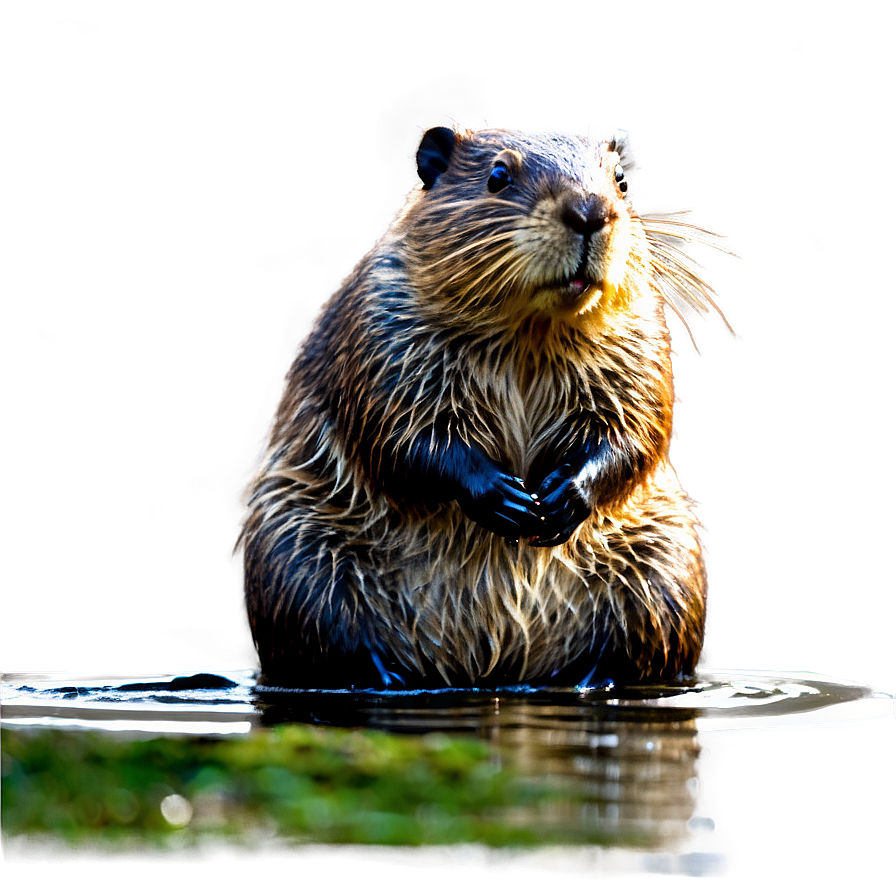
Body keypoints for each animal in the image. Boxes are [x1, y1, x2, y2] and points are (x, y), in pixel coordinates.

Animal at [238, 122, 712, 688]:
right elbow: (397, 435)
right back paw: (390, 677)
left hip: (666, 559)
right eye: (499, 175)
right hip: (292, 551)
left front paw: (558, 500)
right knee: (329, 639)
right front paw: (508, 499)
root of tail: (491, 670)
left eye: (620, 179)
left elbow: (637, 429)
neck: (528, 341)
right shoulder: (381, 327)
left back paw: (587, 677)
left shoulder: (640, 337)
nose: (589, 211)